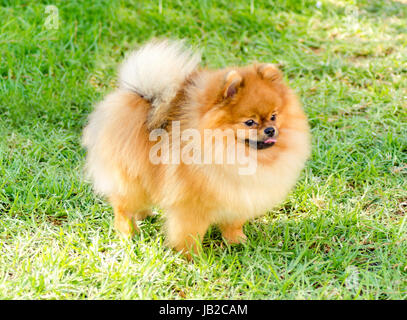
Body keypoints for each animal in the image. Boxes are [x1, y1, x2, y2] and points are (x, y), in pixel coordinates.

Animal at [83, 38, 312, 256]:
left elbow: (233, 224)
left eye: (274, 116)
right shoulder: (191, 208)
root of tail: (139, 97)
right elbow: (189, 235)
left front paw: (237, 242)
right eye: (249, 122)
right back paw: (128, 233)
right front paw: (193, 258)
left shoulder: (238, 198)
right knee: (123, 208)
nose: (271, 130)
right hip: (131, 181)